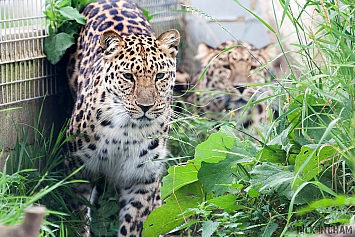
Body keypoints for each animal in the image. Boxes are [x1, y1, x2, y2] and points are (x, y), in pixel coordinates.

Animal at [64, 0, 181, 236]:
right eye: (128, 76)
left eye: (160, 76)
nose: (145, 107)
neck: (126, 132)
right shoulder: (77, 168)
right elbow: (78, 217)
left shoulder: (142, 177)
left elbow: (134, 222)